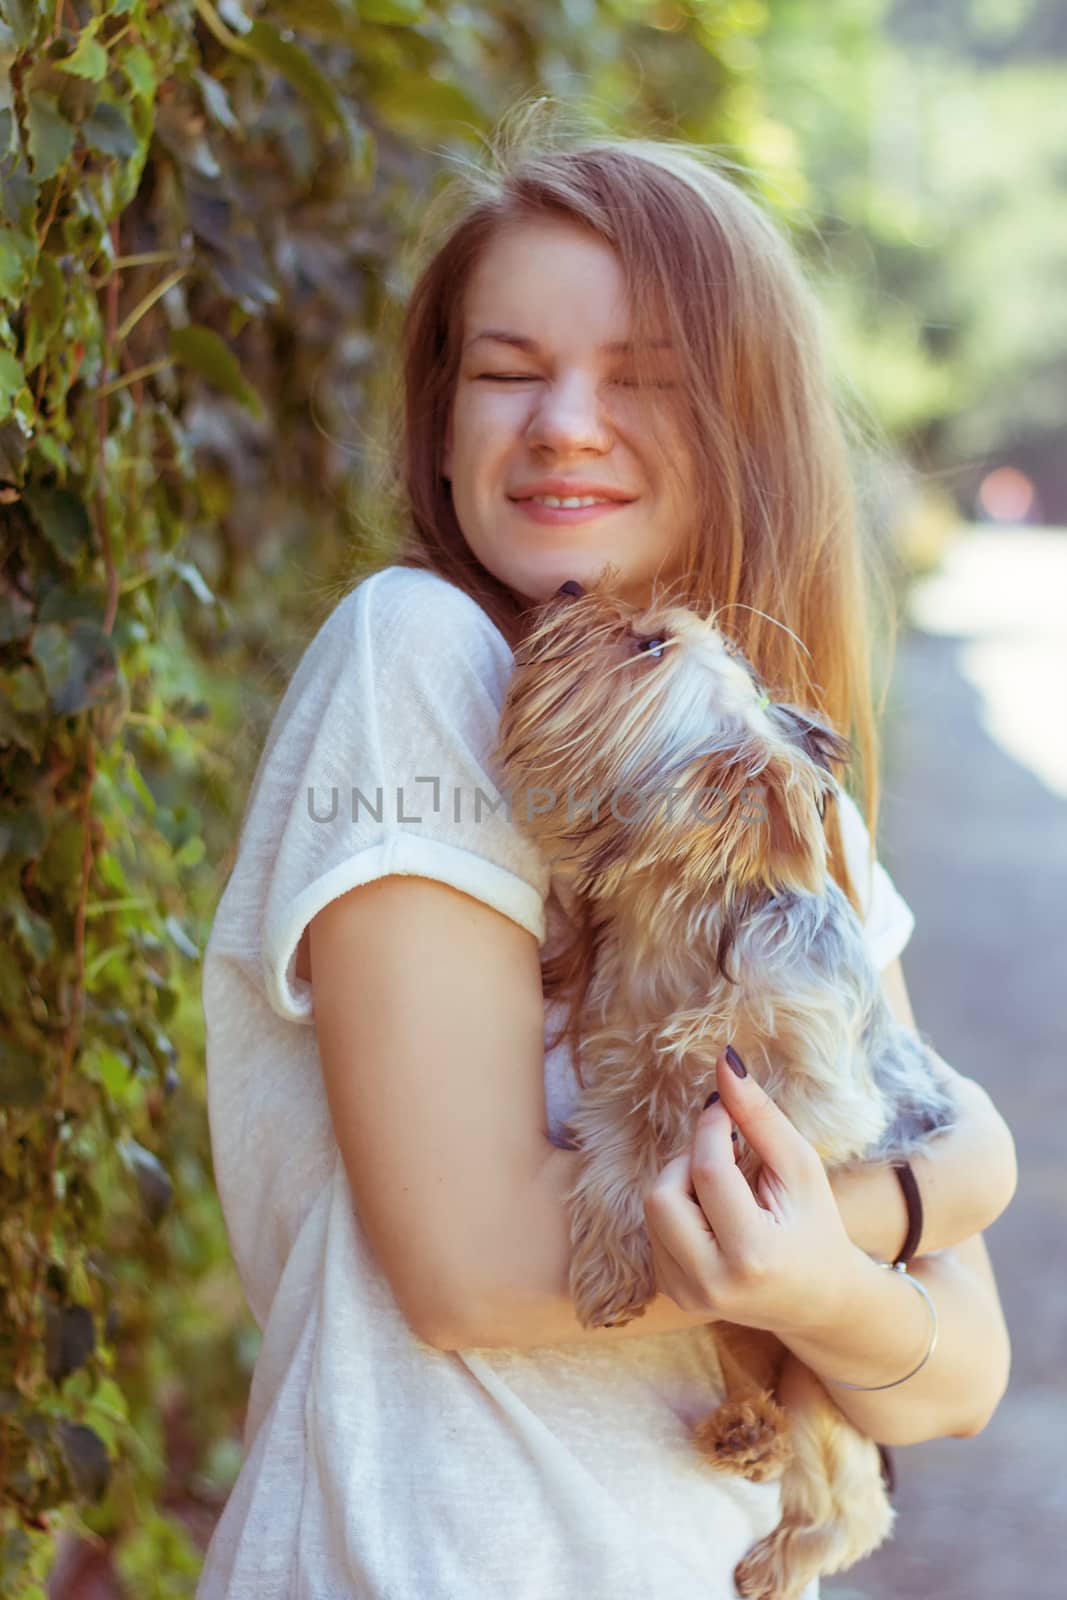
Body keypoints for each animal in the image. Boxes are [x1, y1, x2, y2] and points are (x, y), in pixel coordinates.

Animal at [495, 572, 953, 1600]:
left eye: (648, 644)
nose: (571, 584)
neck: (684, 922)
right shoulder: (619, 1064)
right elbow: (620, 1155)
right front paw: (610, 1264)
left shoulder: (829, 1089)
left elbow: (766, 1120)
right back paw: (744, 1433)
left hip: (829, 1369)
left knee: (850, 1503)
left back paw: (782, 1545)